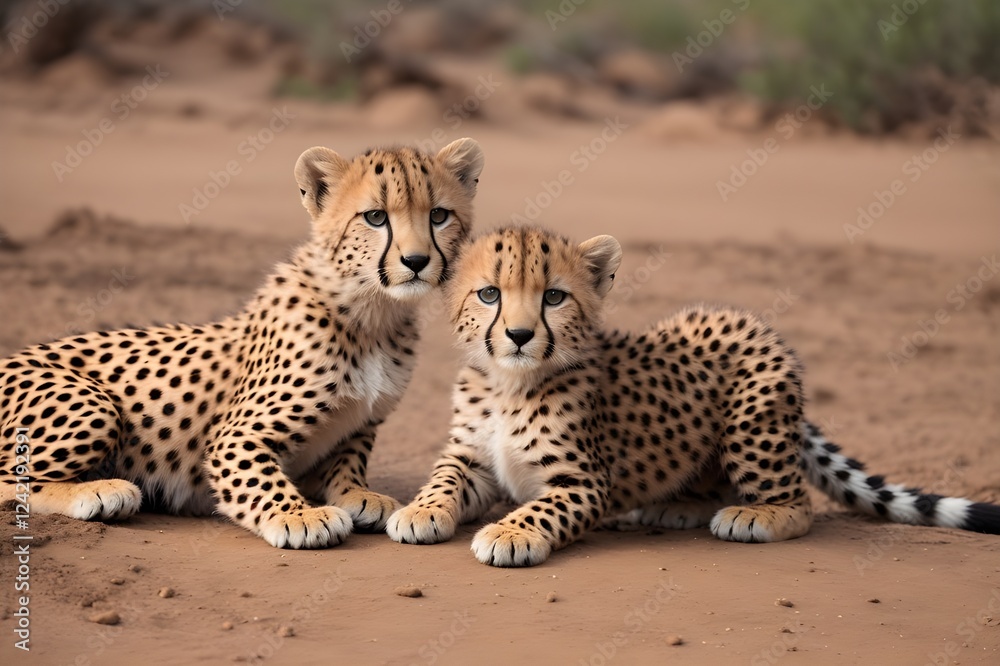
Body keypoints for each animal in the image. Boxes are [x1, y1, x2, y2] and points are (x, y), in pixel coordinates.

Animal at [0, 138, 485, 549]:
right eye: (375, 217)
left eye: (438, 216)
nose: (416, 261)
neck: (373, 312)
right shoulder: (233, 437)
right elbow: (259, 480)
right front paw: (299, 516)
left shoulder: (360, 424)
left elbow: (347, 458)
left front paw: (357, 493)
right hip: (93, 402)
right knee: (11, 480)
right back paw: (102, 491)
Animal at [386, 225, 1000, 566]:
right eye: (489, 294)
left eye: (554, 297)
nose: (518, 335)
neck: (508, 381)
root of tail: (756, 325)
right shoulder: (472, 459)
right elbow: (444, 479)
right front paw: (420, 511)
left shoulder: (582, 480)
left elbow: (544, 508)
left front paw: (509, 532)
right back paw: (665, 506)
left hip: (750, 424)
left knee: (799, 504)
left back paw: (753, 515)